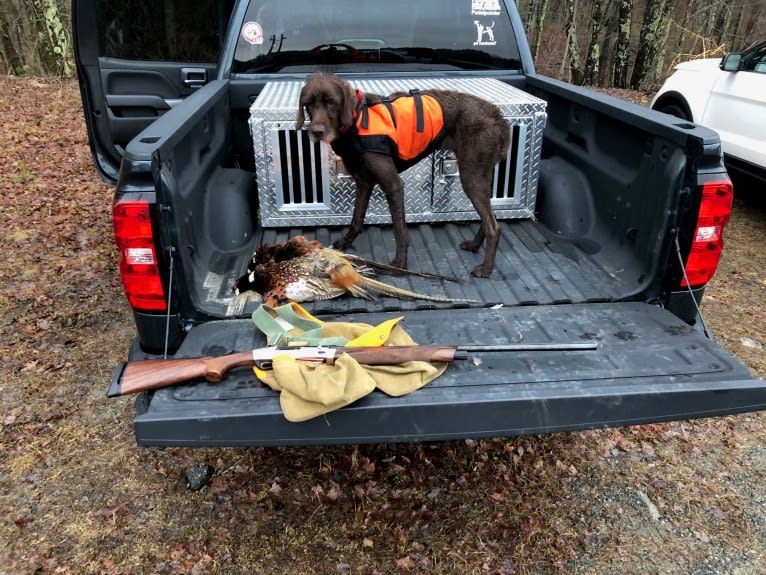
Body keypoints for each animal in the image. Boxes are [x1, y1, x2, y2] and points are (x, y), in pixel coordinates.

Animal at [296, 71, 512, 278]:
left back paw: (486, 268)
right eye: (309, 104)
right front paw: (346, 243)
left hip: (471, 176)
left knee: (493, 225)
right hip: (480, 175)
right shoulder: (363, 182)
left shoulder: (393, 184)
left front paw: (400, 264)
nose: (316, 131)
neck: (357, 120)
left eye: (331, 102)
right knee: (489, 216)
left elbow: (400, 229)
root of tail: (498, 118)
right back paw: (475, 245)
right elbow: (357, 218)